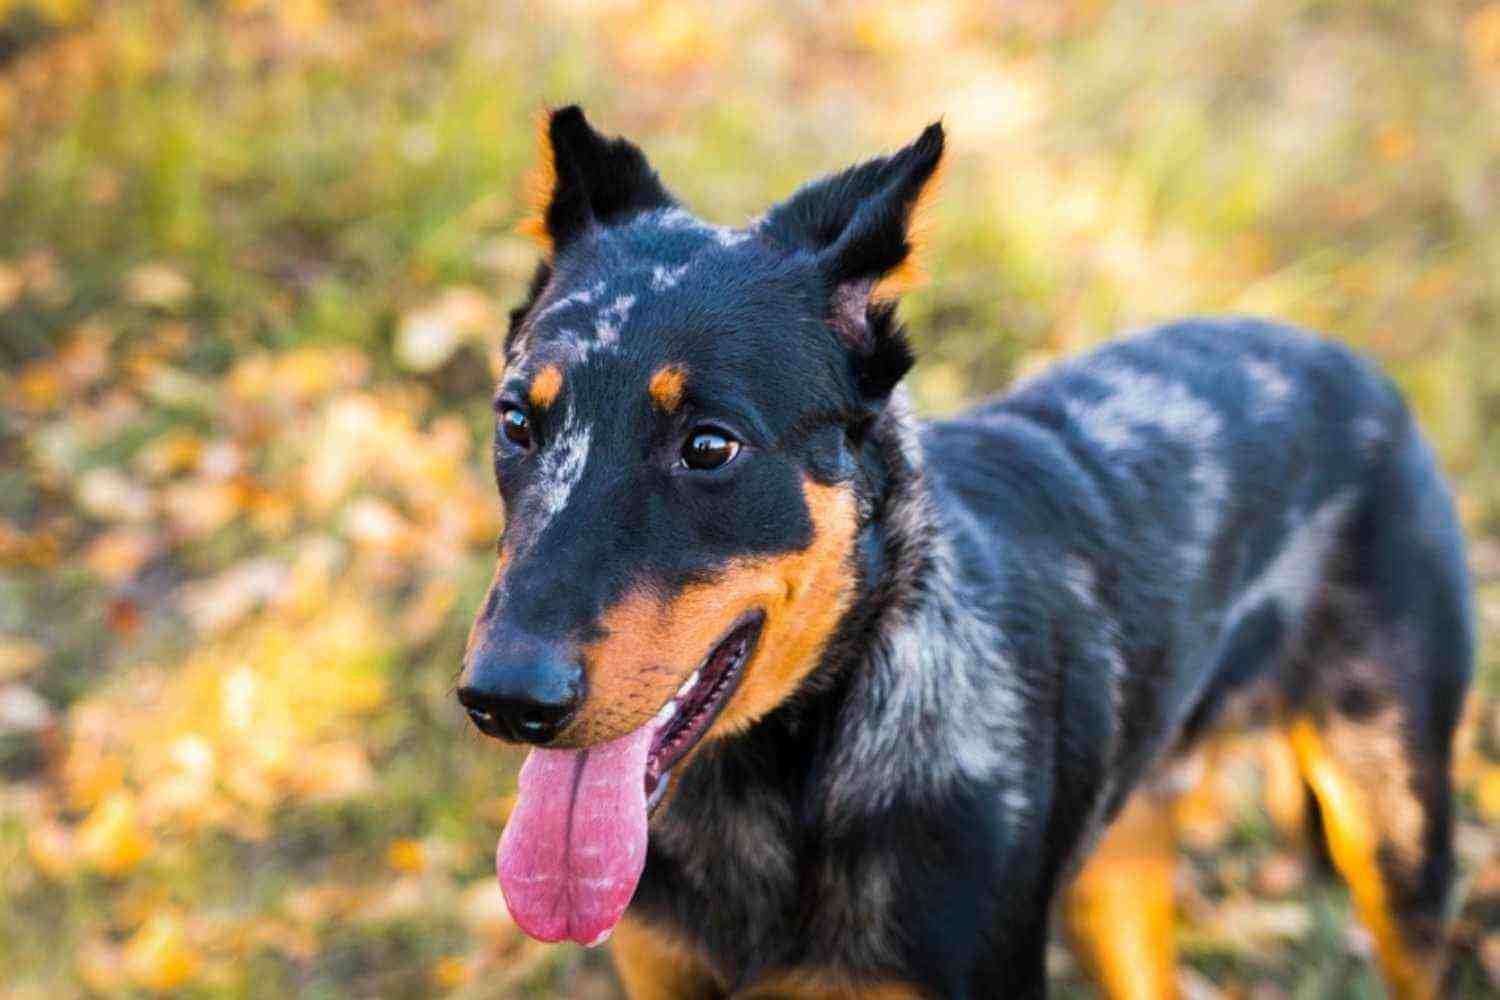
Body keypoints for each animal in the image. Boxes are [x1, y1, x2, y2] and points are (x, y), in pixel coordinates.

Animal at [456, 105, 1476, 995]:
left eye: (709, 447)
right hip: (1118, 870)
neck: (780, 782)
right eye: (516, 421)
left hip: (1394, 832)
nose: (505, 702)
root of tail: (1356, 365)